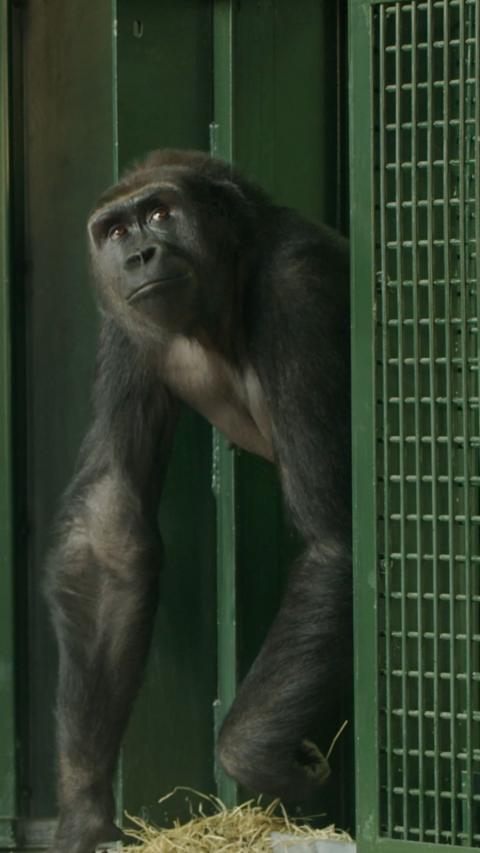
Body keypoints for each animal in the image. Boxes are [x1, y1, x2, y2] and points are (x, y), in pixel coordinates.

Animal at [45, 149, 351, 853]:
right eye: (115, 231)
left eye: (161, 214)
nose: (139, 255)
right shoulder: (124, 325)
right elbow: (109, 535)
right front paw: (82, 806)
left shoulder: (298, 288)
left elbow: (333, 538)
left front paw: (254, 754)